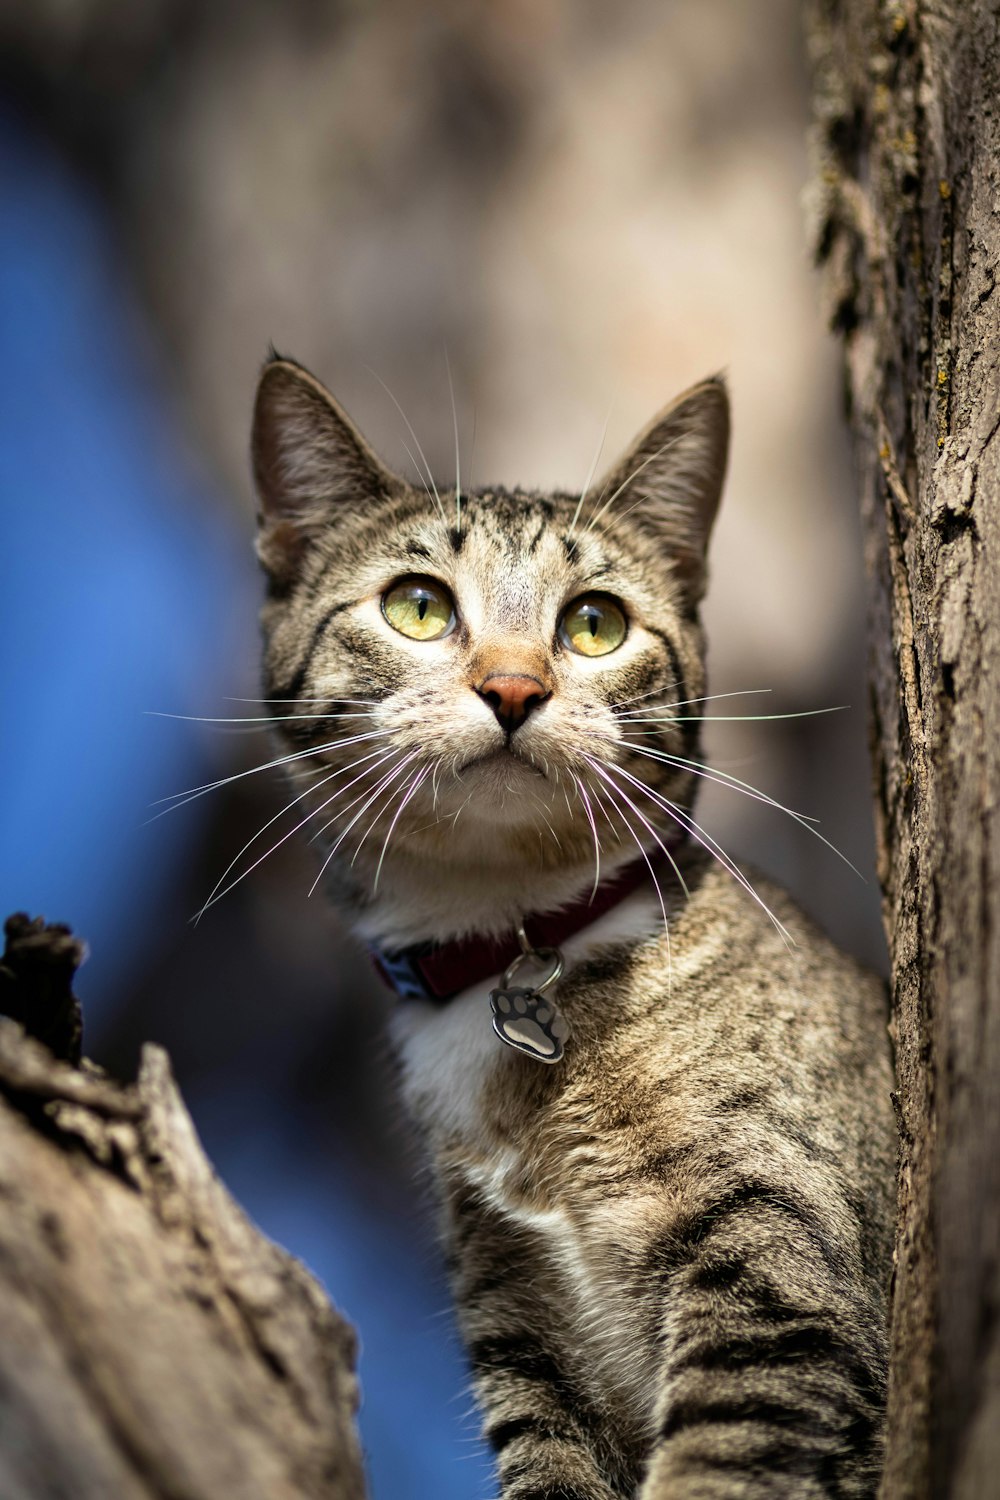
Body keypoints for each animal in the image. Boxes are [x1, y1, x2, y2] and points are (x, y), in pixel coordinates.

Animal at [250, 354, 899, 1500]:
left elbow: (722, 1462)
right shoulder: (518, 1331)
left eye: (595, 622)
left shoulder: (780, 1257)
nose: (514, 686)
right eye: (417, 605)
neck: (512, 944)